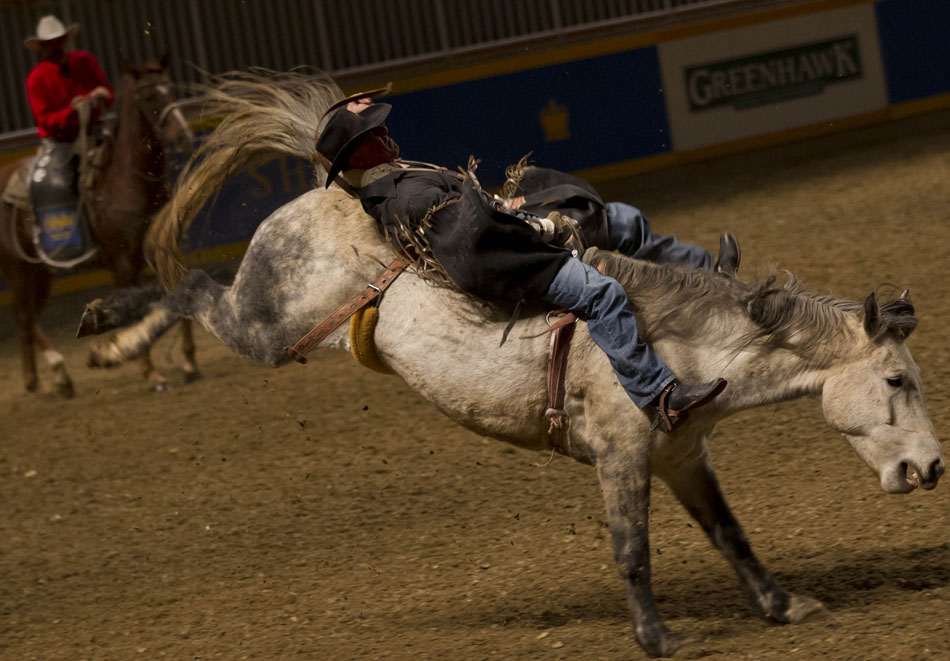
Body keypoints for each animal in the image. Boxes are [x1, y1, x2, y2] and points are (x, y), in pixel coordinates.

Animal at [0, 54, 195, 394]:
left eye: (170, 88)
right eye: (148, 96)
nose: (183, 135)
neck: (126, 183)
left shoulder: (163, 253)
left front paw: (188, 362)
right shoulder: (123, 265)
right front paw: (151, 373)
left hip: (39, 274)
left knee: (27, 318)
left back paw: (46, 379)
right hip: (18, 271)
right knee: (24, 317)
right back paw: (52, 370)